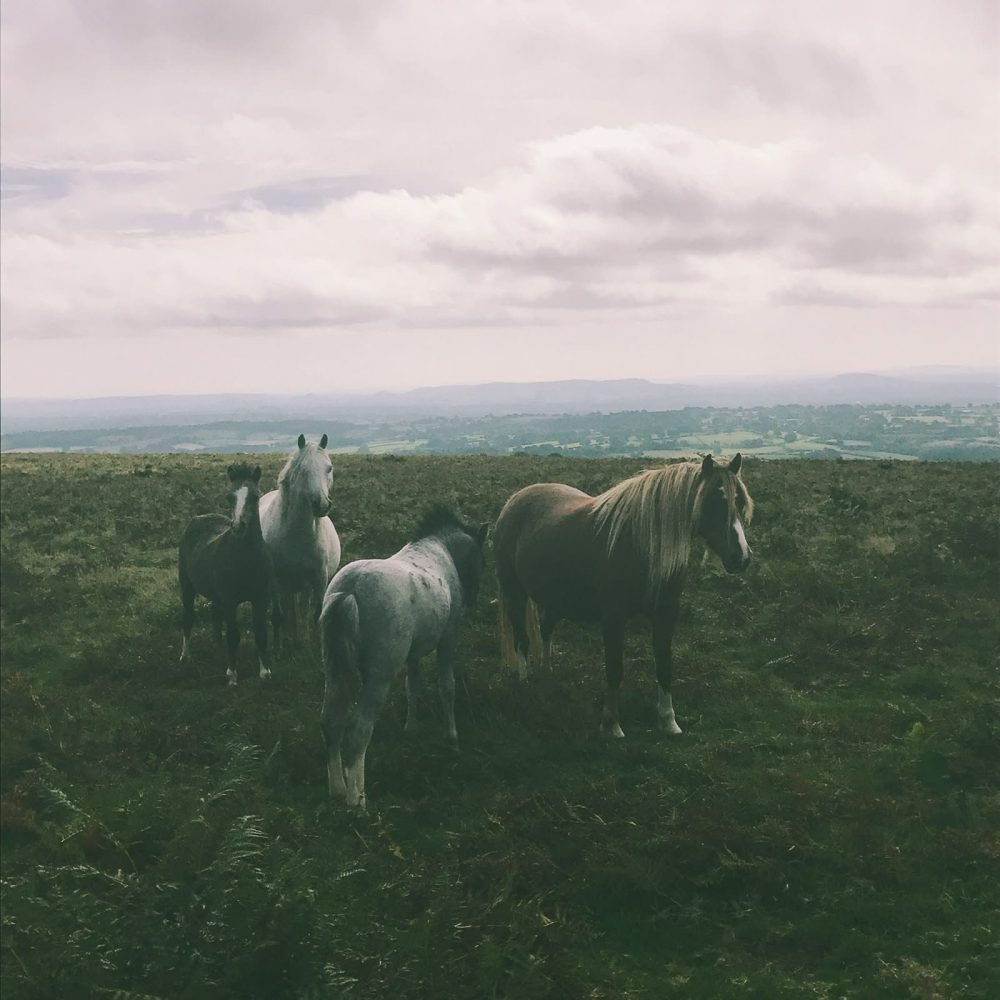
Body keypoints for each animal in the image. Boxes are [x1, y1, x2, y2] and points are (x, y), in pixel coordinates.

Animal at [178, 463, 274, 686]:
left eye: (255, 496)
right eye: (230, 497)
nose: (238, 526)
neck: (246, 560)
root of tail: (198, 518)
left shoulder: (261, 599)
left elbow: (261, 633)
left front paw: (265, 672)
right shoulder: (230, 600)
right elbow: (233, 635)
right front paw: (232, 674)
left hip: (215, 595)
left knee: (215, 616)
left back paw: (218, 648)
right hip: (187, 587)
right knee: (188, 617)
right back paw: (186, 656)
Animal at [259, 434, 341, 644]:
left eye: (329, 468)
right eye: (303, 470)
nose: (321, 504)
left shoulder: (319, 578)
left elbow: (316, 614)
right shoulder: (276, 579)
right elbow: (278, 616)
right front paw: (280, 646)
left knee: (300, 607)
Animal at [319, 506, 488, 811]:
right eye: (483, 561)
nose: (472, 603)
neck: (439, 550)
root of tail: (350, 590)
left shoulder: (412, 654)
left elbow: (413, 688)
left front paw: (411, 727)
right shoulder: (448, 638)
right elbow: (447, 687)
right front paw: (452, 737)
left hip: (333, 671)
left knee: (330, 722)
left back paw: (337, 789)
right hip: (379, 678)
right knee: (359, 730)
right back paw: (357, 799)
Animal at [493, 453, 753, 738]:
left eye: (740, 501)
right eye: (714, 501)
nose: (741, 557)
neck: (641, 544)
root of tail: (513, 501)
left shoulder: (665, 615)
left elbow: (664, 665)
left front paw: (668, 720)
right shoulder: (613, 618)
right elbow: (614, 668)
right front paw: (612, 723)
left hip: (555, 599)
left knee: (546, 628)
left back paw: (547, 673)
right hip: (515, 592)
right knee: (522, 639)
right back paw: (525, 683)